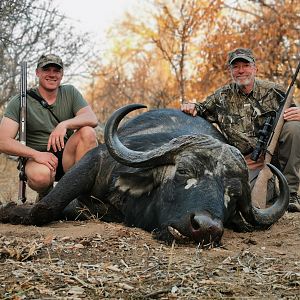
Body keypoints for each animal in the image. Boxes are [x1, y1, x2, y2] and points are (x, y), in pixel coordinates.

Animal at [0, 103, 290, 246]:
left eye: (234, 194)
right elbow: (45, 208)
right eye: (183, 171)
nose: (206, 227)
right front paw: (11, 210)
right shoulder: (96, 159)